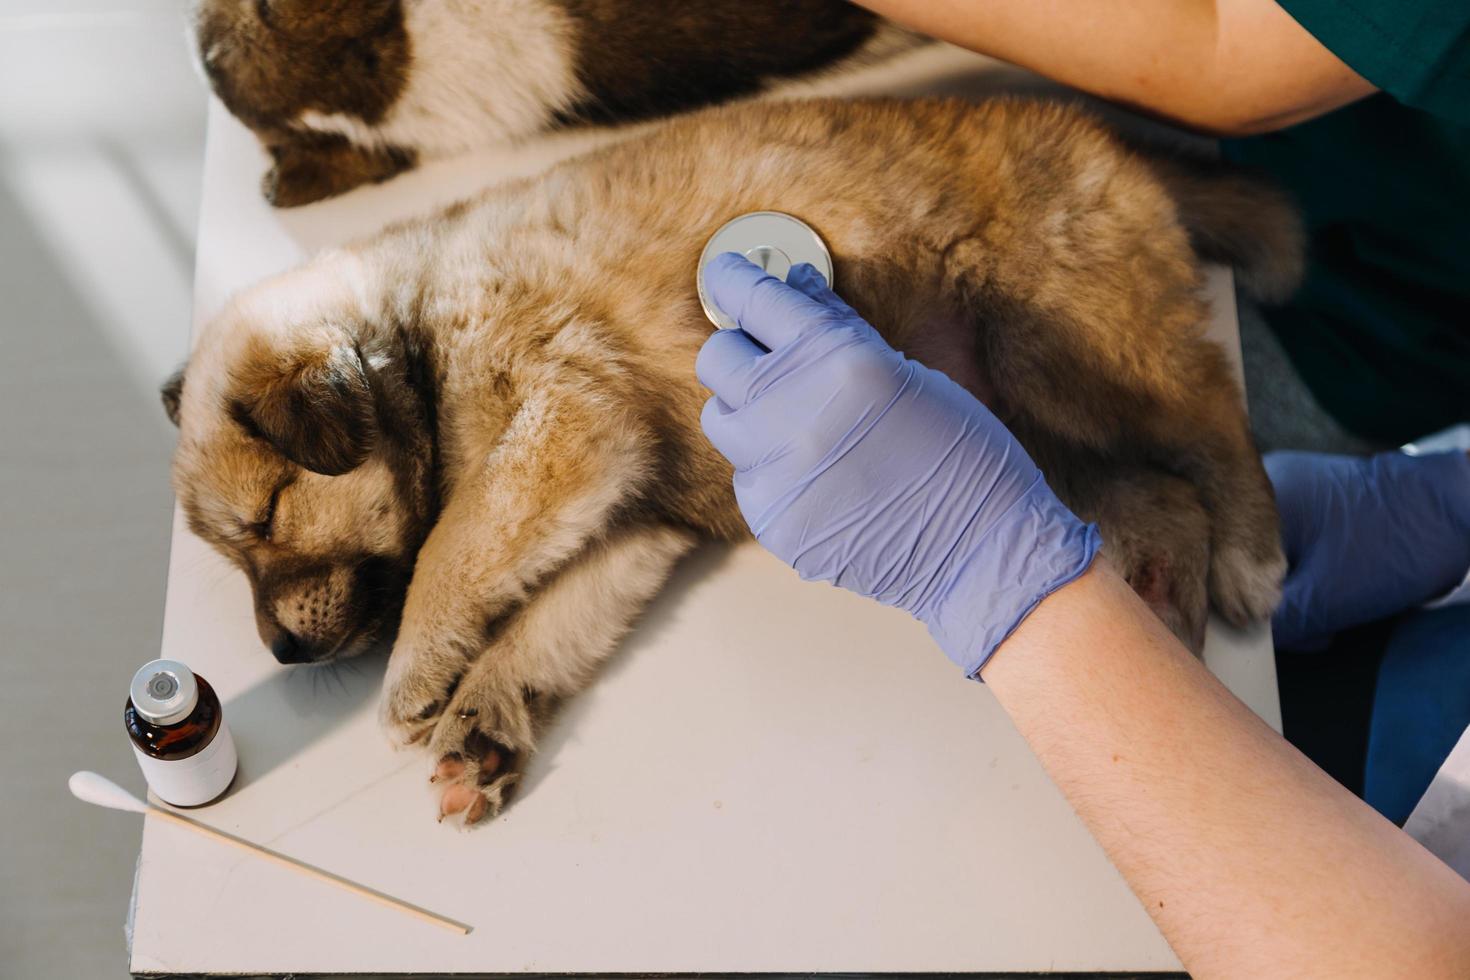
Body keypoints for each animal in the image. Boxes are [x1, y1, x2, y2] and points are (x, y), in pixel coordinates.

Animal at [166, 95, 1305, 822]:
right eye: (237, 554)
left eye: (267, 519)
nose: (280, 655)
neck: (413, 324)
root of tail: (1120, 150)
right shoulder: (625, 508)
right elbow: (543, 625)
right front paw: (485, 720)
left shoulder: (563, 421)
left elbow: (454, 548)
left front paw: (415, 674)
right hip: (1037, 426)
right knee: (1159, 494)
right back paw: (1161, 602)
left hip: (1070, 349)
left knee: (1213, 415)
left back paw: (1253, 555)